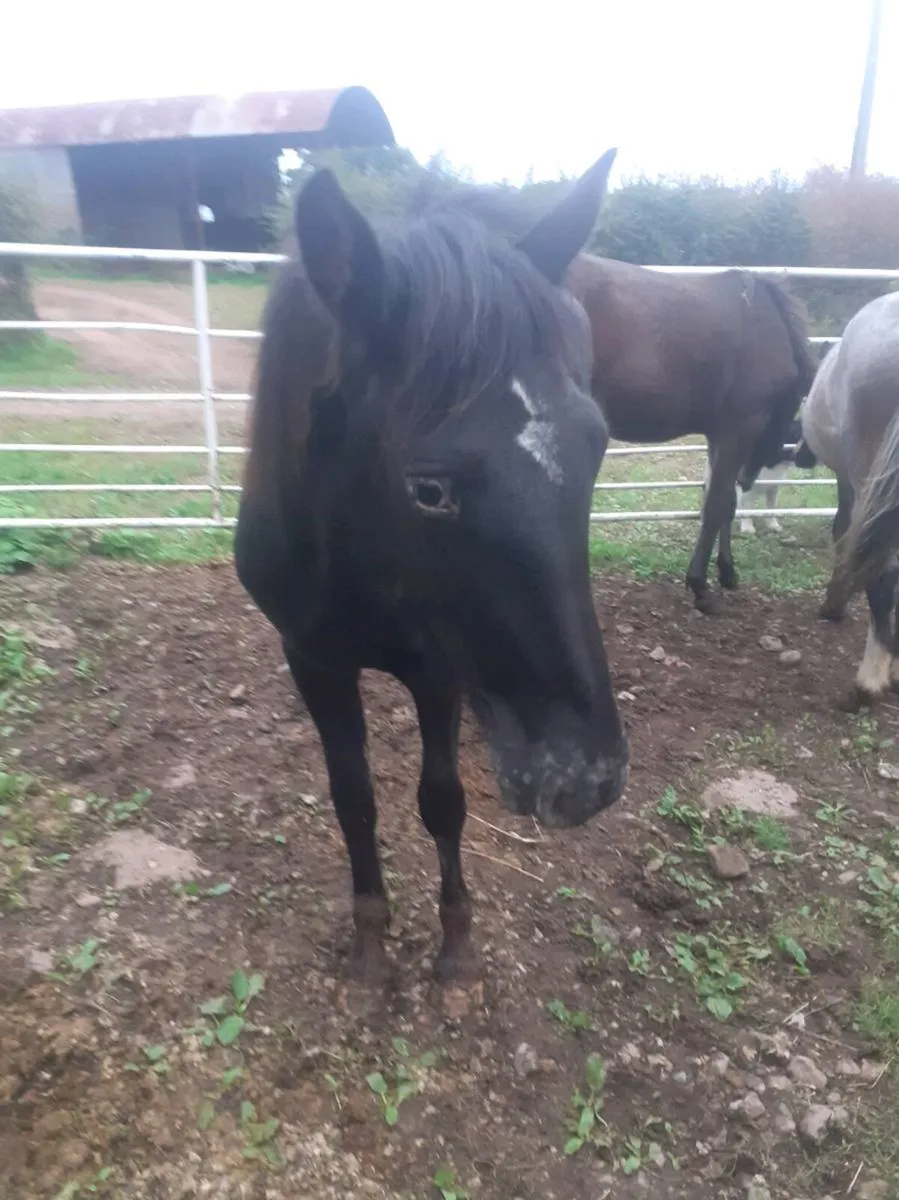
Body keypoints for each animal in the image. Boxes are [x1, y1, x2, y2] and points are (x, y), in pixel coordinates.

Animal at [234, 152, 628, 991]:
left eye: (596, 446)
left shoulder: (440, 671)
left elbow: (441, 800)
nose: (583, 779)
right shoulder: (311, 659)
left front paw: (454, 947)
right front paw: (370, 943)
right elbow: (353, 797)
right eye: (429, 490)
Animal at [566, 259, 816, 612]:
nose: (751, 477)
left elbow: (725, 503)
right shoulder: (739, 430)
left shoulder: (719, 436)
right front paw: (699, 586)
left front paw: (727, 572)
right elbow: (714, 506)